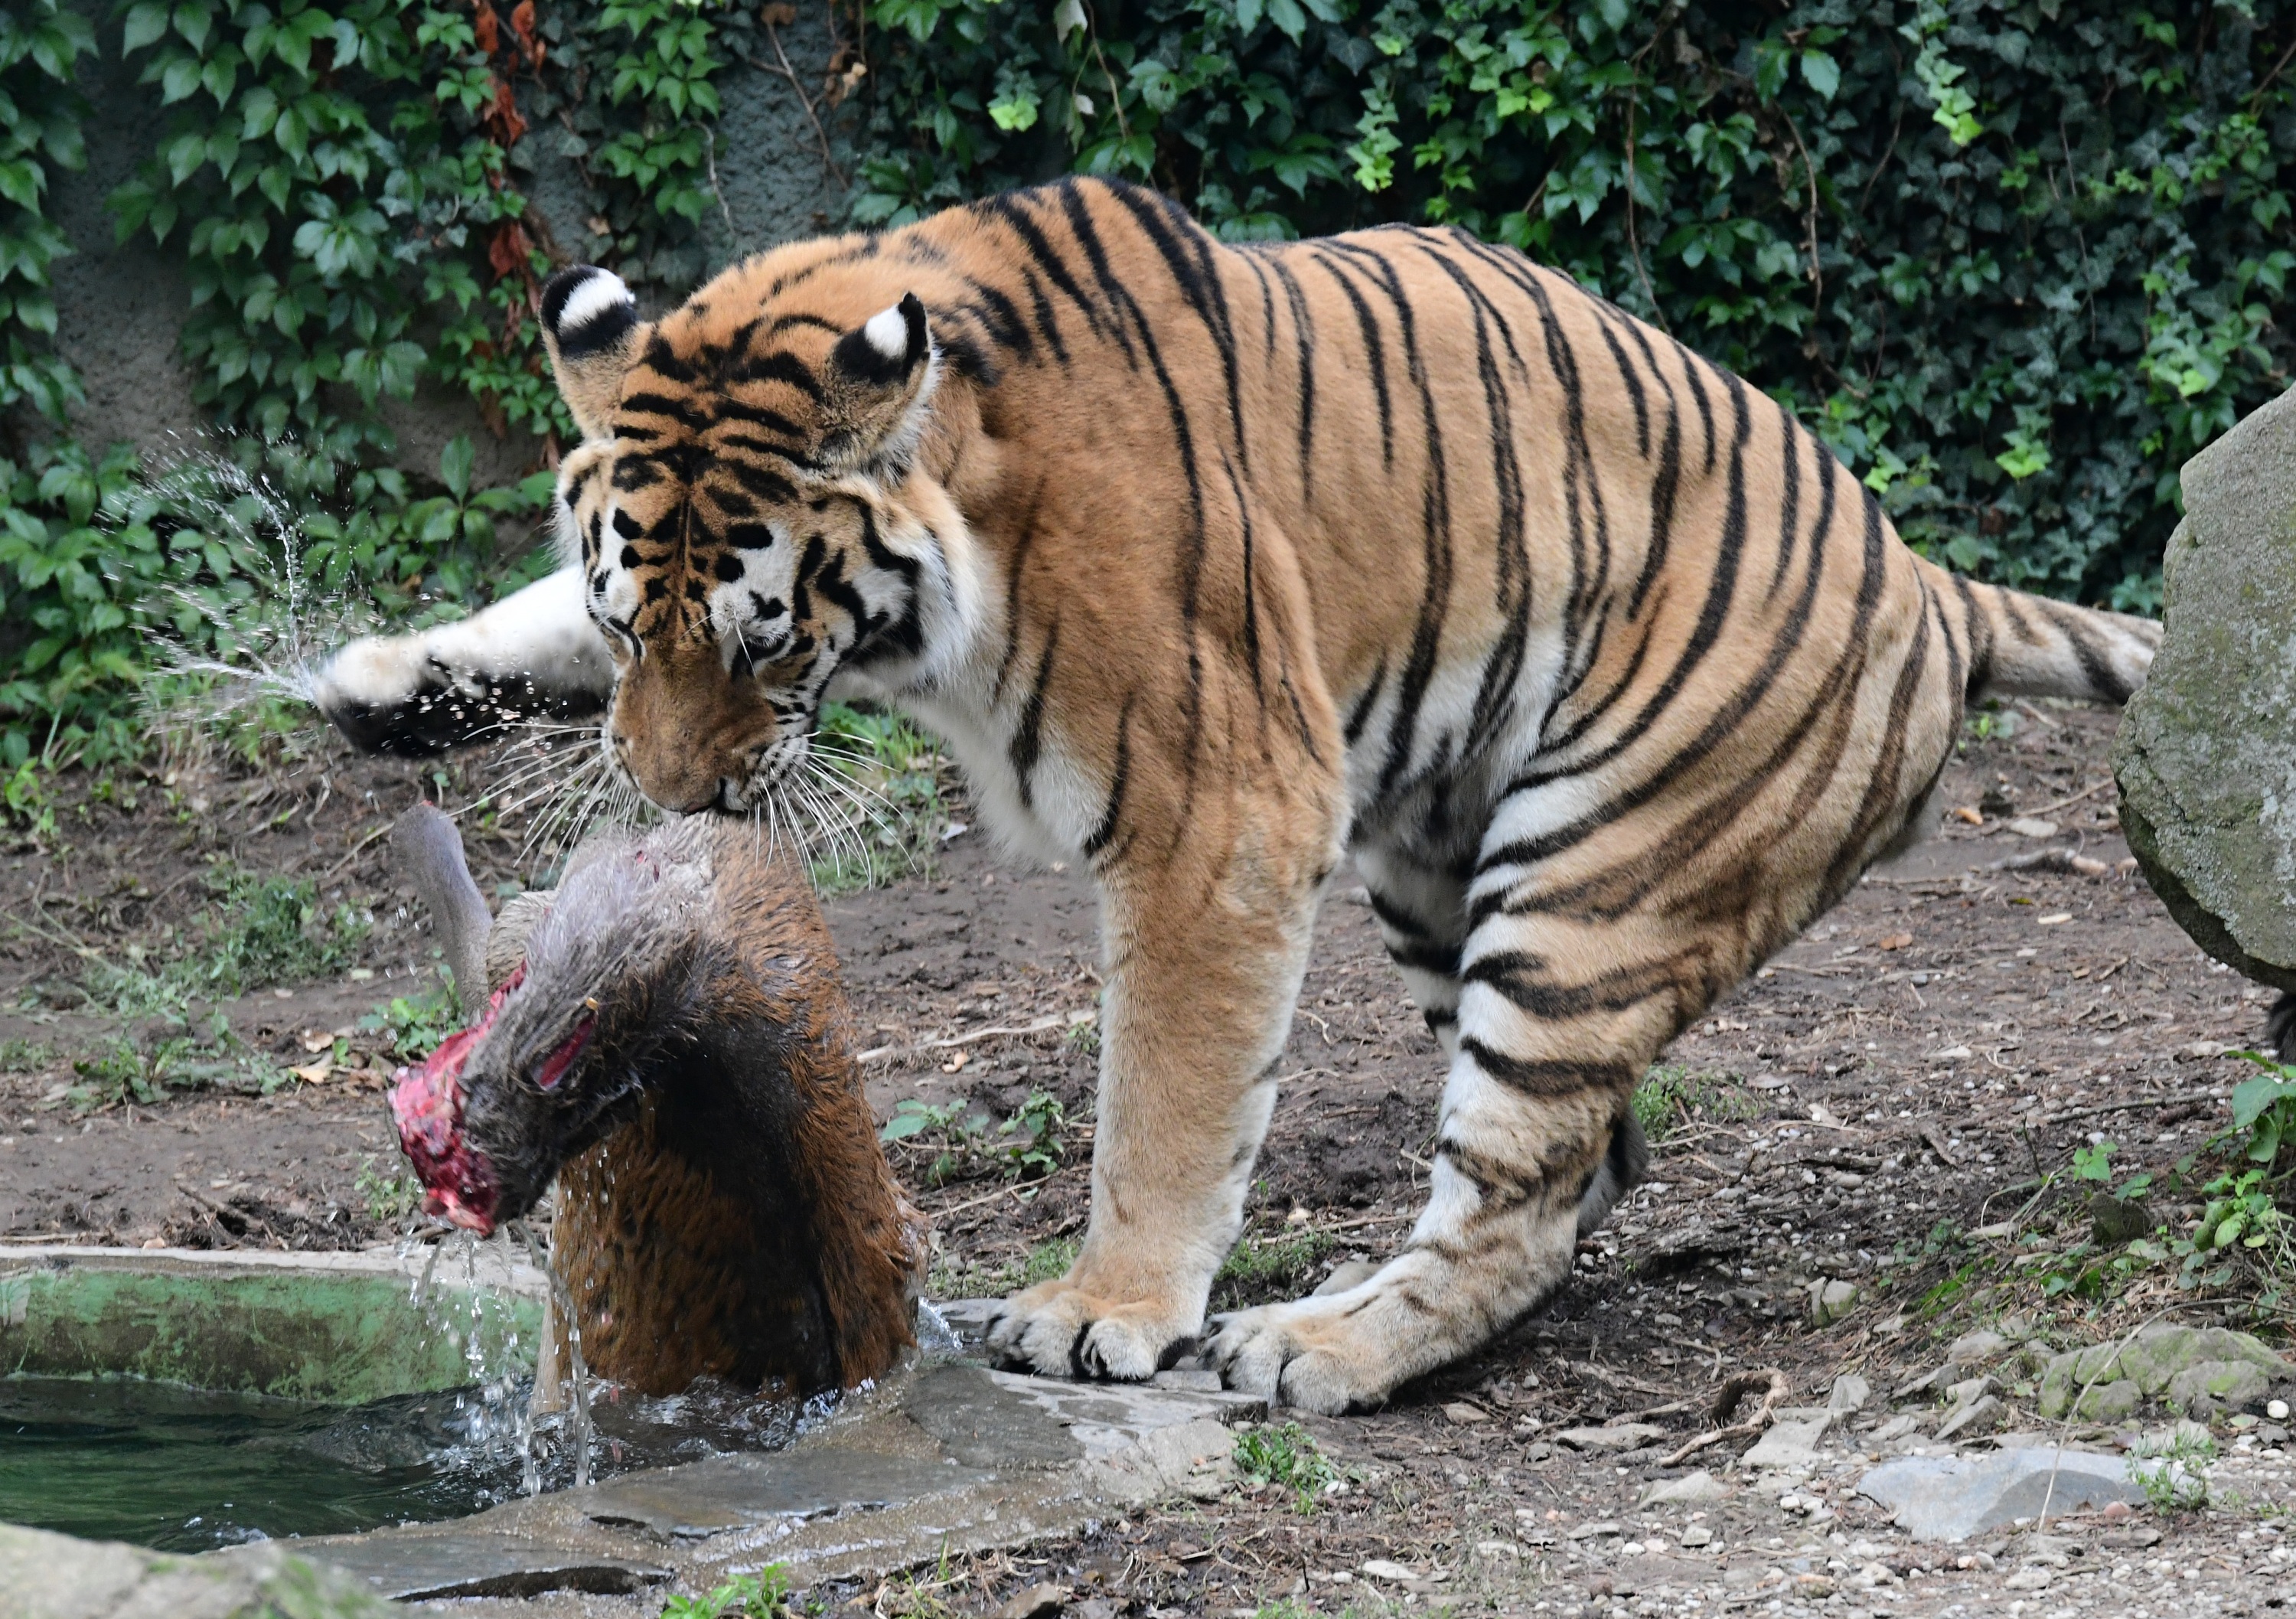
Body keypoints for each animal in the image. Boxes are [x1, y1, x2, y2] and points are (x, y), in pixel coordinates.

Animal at [315, 176, 2160, 1413]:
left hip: (1592, 888)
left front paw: (1105, 1308)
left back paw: (1315, 1344)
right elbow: (524, 616)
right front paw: (378, 681)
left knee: (1519, 1182)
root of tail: (1929, 587)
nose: (678, 795)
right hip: (1444, 865)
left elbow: (1167, 1099)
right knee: (1584, 1174)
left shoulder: (1221, 811)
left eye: (766, 638)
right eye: (641, 625)